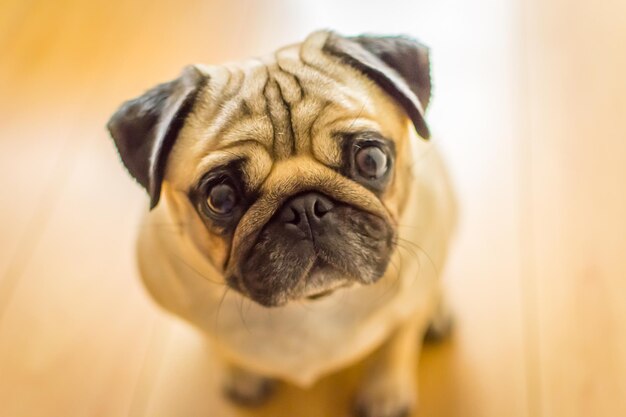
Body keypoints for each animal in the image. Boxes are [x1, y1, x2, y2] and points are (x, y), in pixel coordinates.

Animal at [107, 30, 456, 416]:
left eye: (372, 160)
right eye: (221, 198)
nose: (305, 208)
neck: (310, 305)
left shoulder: (411, 301)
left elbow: (399, 339)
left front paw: (385, 393)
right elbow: (217, 343)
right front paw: (240, 372)